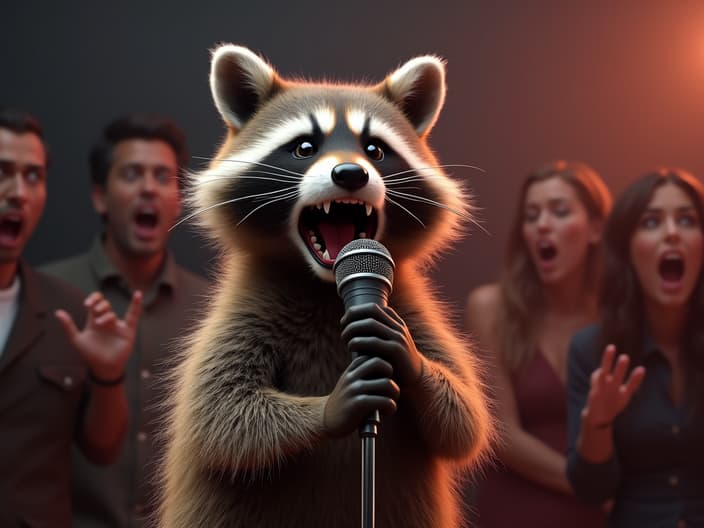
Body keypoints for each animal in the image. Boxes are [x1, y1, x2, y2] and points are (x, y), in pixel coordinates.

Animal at [160, 46, 492, 528]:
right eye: (304, 147)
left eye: (375, 149)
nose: (351, 173)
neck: (325, 287)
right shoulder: (241, 317)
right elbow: (219, 417)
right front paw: (335, 404)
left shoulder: (413, 307)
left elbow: (465, 418)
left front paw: (402, 351)